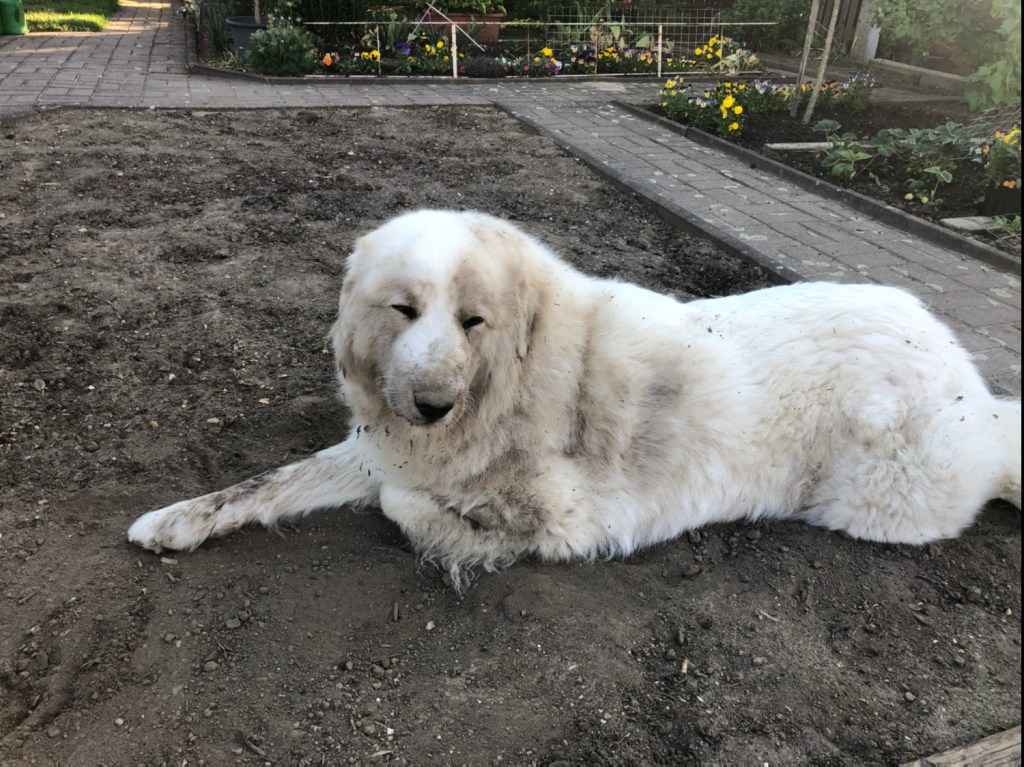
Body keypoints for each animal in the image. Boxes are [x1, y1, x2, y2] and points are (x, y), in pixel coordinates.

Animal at [128, 210, 1022, 587]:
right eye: (404, 309)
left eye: (474, 319)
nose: (430, 405)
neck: (507, 380)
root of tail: (962, 370)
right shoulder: (385, 446)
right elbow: (271, 483)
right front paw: (176, 519)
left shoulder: (573, 512)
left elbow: (400, 503)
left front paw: (468, 546)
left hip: (888, 499)